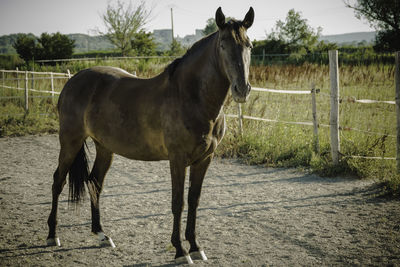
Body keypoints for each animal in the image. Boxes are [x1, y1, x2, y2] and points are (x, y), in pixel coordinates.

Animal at [46, 6, 253, 266]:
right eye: (223, 45)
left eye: (249, 46)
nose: (242, 89)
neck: (190, 96)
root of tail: (72, 82)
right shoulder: (177, 159)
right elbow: (178, 202)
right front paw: (180, 250)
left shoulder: (205, 159)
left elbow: (194, 201)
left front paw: (196, 247)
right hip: (70, 141)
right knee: (58, 181)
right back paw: (52, 236)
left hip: (105, 147)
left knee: (94, 182)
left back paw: (102, 234)